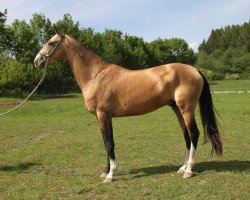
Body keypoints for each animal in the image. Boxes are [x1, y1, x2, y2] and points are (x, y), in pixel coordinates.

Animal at [33, 29, 223, 183]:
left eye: (51, 43)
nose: (37, 61)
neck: (97, 76)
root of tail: (195, 70)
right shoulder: (104, 117)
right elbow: (107, 143)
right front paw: (106, 171)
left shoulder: (103, 115)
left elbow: (109, 143)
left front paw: (110, 175)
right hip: (177, 109)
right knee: (186, 136)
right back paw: (182, 167)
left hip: (186, 109)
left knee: (194, 134)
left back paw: (189, 170)